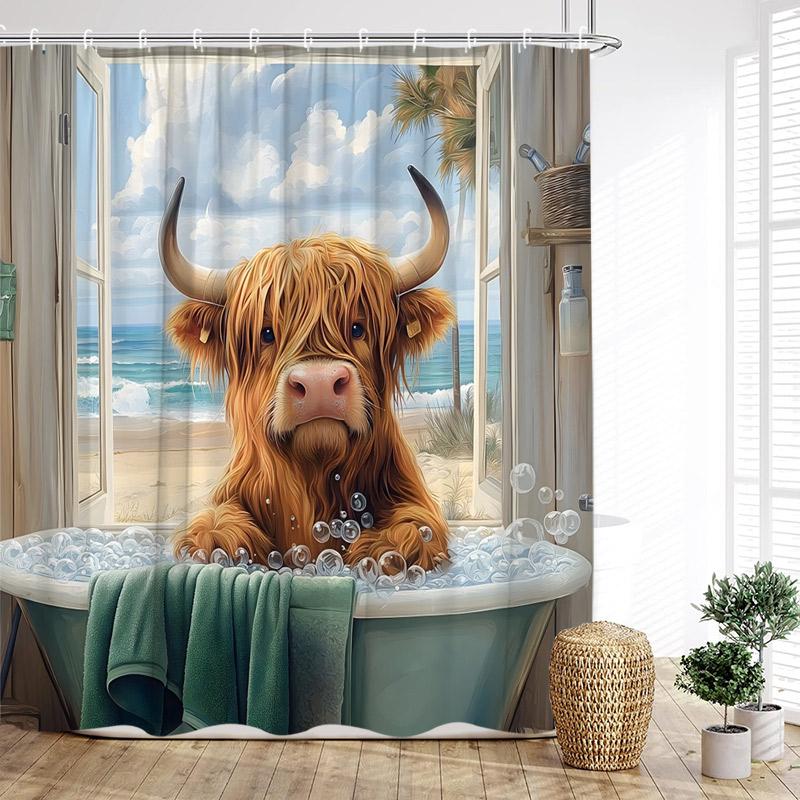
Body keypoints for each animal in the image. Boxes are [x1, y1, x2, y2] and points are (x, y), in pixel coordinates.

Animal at [160, 166, 455, 571]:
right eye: (267, 333)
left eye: (357, 327)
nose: (318, 385)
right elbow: (213, 524)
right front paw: (223, 546)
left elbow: (417, 526)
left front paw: (383, 550)